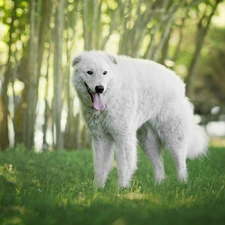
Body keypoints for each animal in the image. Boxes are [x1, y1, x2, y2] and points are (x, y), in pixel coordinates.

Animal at [72, 51, 207, 188]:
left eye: (105, 72)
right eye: (89, 72)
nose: (100, 88)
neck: (111, 95)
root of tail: (179, 83)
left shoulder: (123, 136)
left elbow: (123, 165)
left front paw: (121, 188)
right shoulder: (100, 138)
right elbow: (99, 166)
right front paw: (97, 189)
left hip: (173, 135)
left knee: (181, 162)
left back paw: (182, 183)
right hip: (147, 140)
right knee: (159, 163)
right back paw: (158, 185)